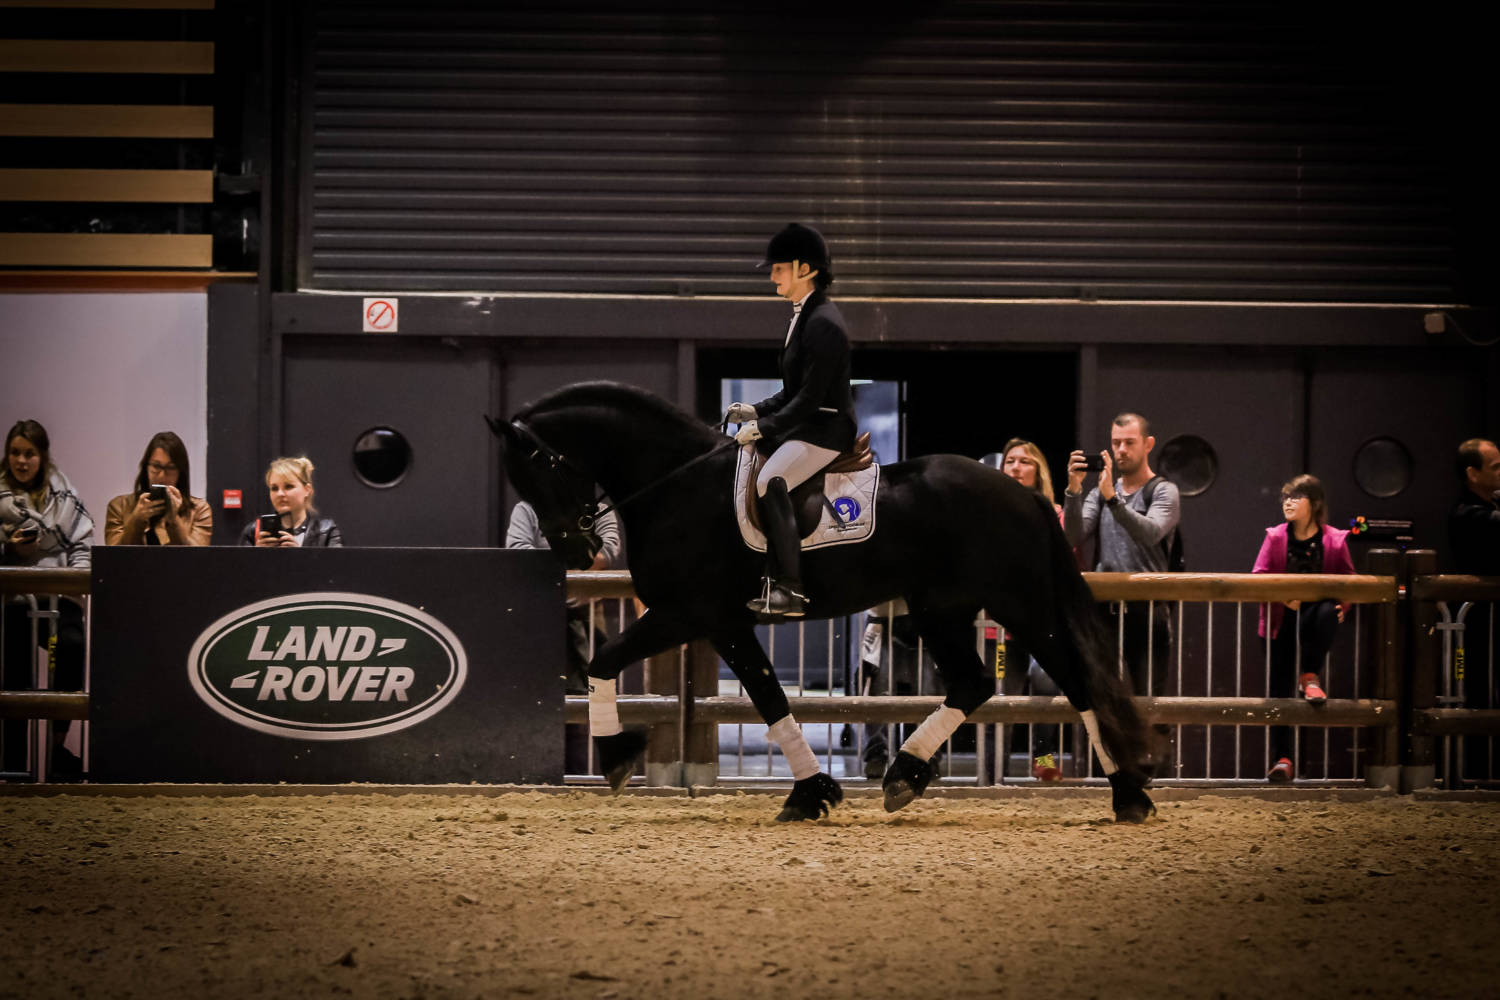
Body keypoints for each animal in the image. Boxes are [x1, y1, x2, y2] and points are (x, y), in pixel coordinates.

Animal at [489, 381, 1157, 823]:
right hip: (941, 608)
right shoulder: (725, 622)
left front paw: (616, 754)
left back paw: (1128, 795)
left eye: (540, 465)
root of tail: (1023, 494)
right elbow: (769, 697)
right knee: (972, 682)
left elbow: (603, 661)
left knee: (1074, 680)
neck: (678, 483)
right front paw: (813, 793)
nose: (573, 548)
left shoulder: (692, 612)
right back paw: (905, 776)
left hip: (1018, 603)